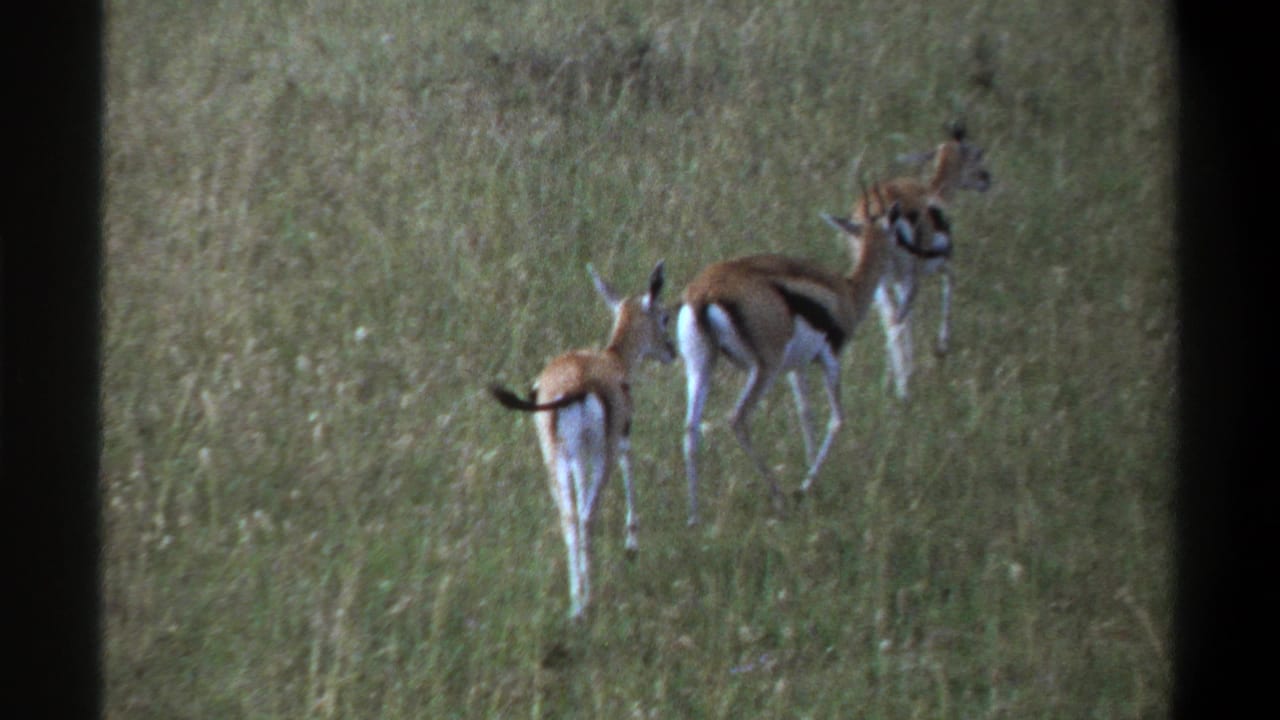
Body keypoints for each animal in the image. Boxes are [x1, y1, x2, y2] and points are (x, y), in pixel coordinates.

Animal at [489, 260, 675, 619]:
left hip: (556, 457)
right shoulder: (619, 439)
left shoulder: (578, 458)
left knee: (569, 517)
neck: (613, 358)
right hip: (597, 455)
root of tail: (576, 385)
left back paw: (576, 603)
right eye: (664, 317)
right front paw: (632, 546)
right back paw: (587, 601)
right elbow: (629, 467)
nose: (671, 352)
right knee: (587, 515)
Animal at [677, 191, 947, 525]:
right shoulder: (830, 359)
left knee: (690, 431)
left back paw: (694, 517)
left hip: (701, 367)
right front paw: (806, 486)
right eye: (899, 233)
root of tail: (704, 293)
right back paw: (779, 495)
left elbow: (806, 415)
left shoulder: (798, 368)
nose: (922, 253)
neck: (847, 291)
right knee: (737, 419)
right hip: (764, 369)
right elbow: (838, 419)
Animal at [849, 121, 992, 399]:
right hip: (907, 276)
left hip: (880, 280)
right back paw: (904, 387)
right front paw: (941, 348)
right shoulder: (936, 264)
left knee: (891, 319)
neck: (933, 193)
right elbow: (949, 285)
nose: (986, 179)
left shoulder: (893, 280)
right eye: (977, 153)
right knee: (898, 319)